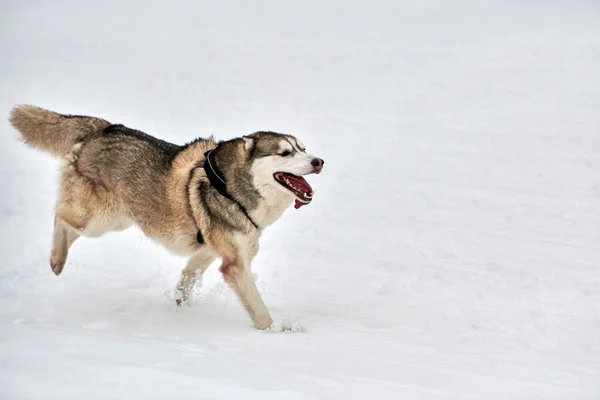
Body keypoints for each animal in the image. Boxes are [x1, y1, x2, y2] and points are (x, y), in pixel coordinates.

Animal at [8, 104, 324, 330]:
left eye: (303, 148)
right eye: (285, 153)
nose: (318, 161)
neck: (229, 186)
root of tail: (104, 128)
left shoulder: (209, 251)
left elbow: (187, 279)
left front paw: (179, 310)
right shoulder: (235, 265)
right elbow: (258, 306)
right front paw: (274, 331)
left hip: (118, 220)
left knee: (68, 224)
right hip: (99, 219)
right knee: (60, 217)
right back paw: (56, 259)